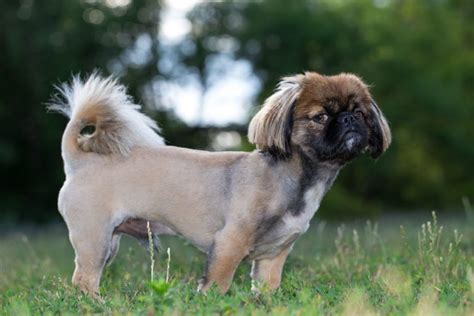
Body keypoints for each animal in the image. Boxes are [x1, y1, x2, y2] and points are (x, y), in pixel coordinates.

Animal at [50, 71, 392, 296]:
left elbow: (267, 289)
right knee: (84, 281)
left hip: (107, 244)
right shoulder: (229, 244)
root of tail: (79, 160)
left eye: (360, 112)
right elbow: (218, 284)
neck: (295, 178)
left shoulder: (273, 257)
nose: (349, 119)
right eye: (320, 117)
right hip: (95, 240)